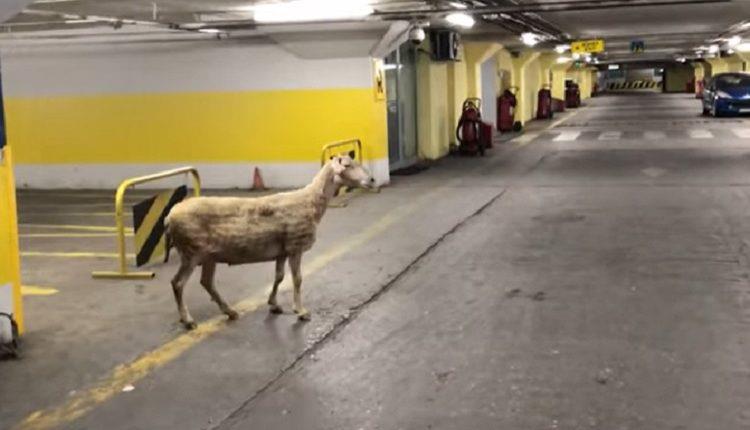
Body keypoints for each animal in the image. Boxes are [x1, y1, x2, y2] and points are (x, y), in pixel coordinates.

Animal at [165, 152, 376, 329]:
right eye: (348, 165)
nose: (372, 180)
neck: (310, 202)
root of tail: (169, 216)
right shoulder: (295, 246)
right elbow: (297, 279)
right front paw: (301, 311)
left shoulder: (282, 250)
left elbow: (279, 277)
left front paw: (273, 304)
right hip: (191, 252)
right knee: (178, 283)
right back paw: (188, 320)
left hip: (209, 255)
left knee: (207, 282)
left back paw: (230, 312)